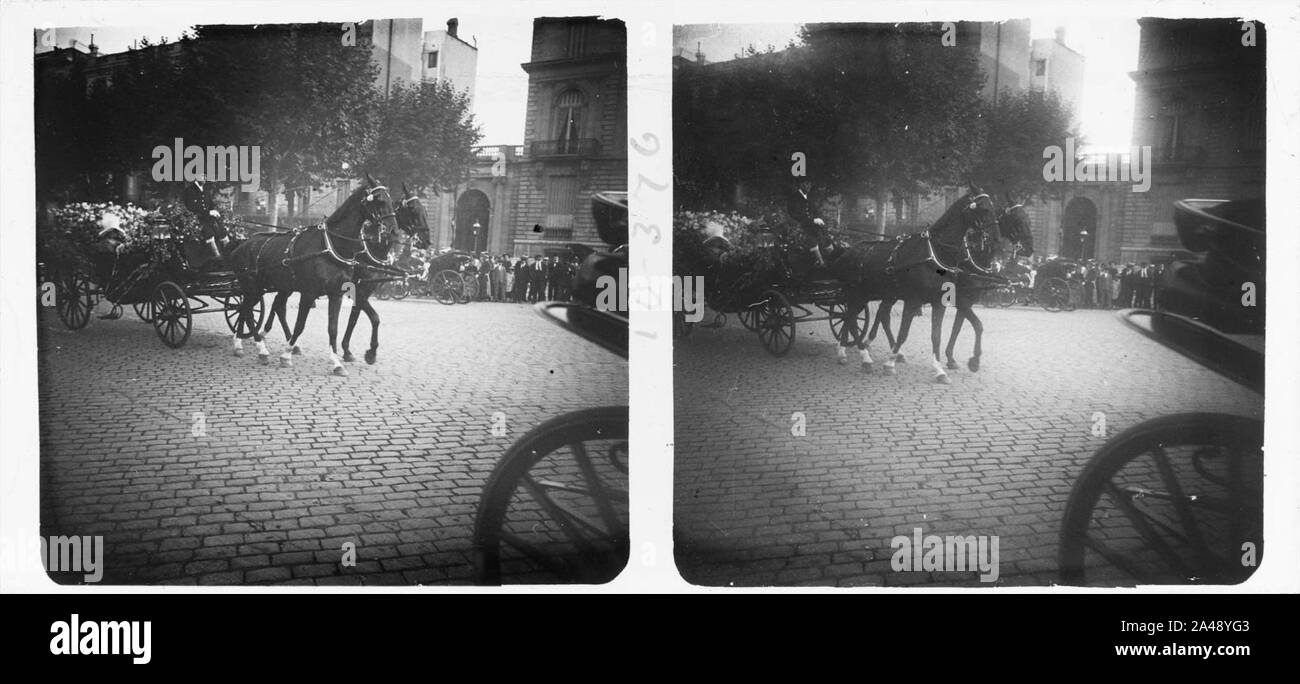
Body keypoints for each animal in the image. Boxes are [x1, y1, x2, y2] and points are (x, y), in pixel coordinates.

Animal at [227, 175, 400, 374]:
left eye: (392, 201)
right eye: (379, 200)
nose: (394, 231)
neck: (331, 246)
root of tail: (242, 243)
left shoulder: (336, 294)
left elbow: (334, 328)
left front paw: (337, 362)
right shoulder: (309, 293)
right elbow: (300, 325)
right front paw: (286, 355)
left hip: (267, 287)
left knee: (249, 308)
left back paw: (241, 343)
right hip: (252, 286)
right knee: (247, 311)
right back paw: (260, 349)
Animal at [262, 182, 421, 364]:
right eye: (414, 210)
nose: (427, 240)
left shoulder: (358, 291)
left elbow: (357, 318)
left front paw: (353, 351)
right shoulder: (357, 291)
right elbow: (370, 318)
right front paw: (362, 351)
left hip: (286, 285)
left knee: (278, 305)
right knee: (278, 306)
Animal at [826, 184, 998, 382]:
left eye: (993, 208)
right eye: (984, 209)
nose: (996, 240)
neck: (935, 254)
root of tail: (848, 250)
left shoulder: (940, 302)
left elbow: (938, 335)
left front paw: (940, 370)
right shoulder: (913, 300)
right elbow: (903, 333)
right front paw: (889, 363)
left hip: (871, 294)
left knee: (854, 318)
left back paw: (847, 352)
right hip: (857, 293)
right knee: (851, 318)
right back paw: (863, 357)